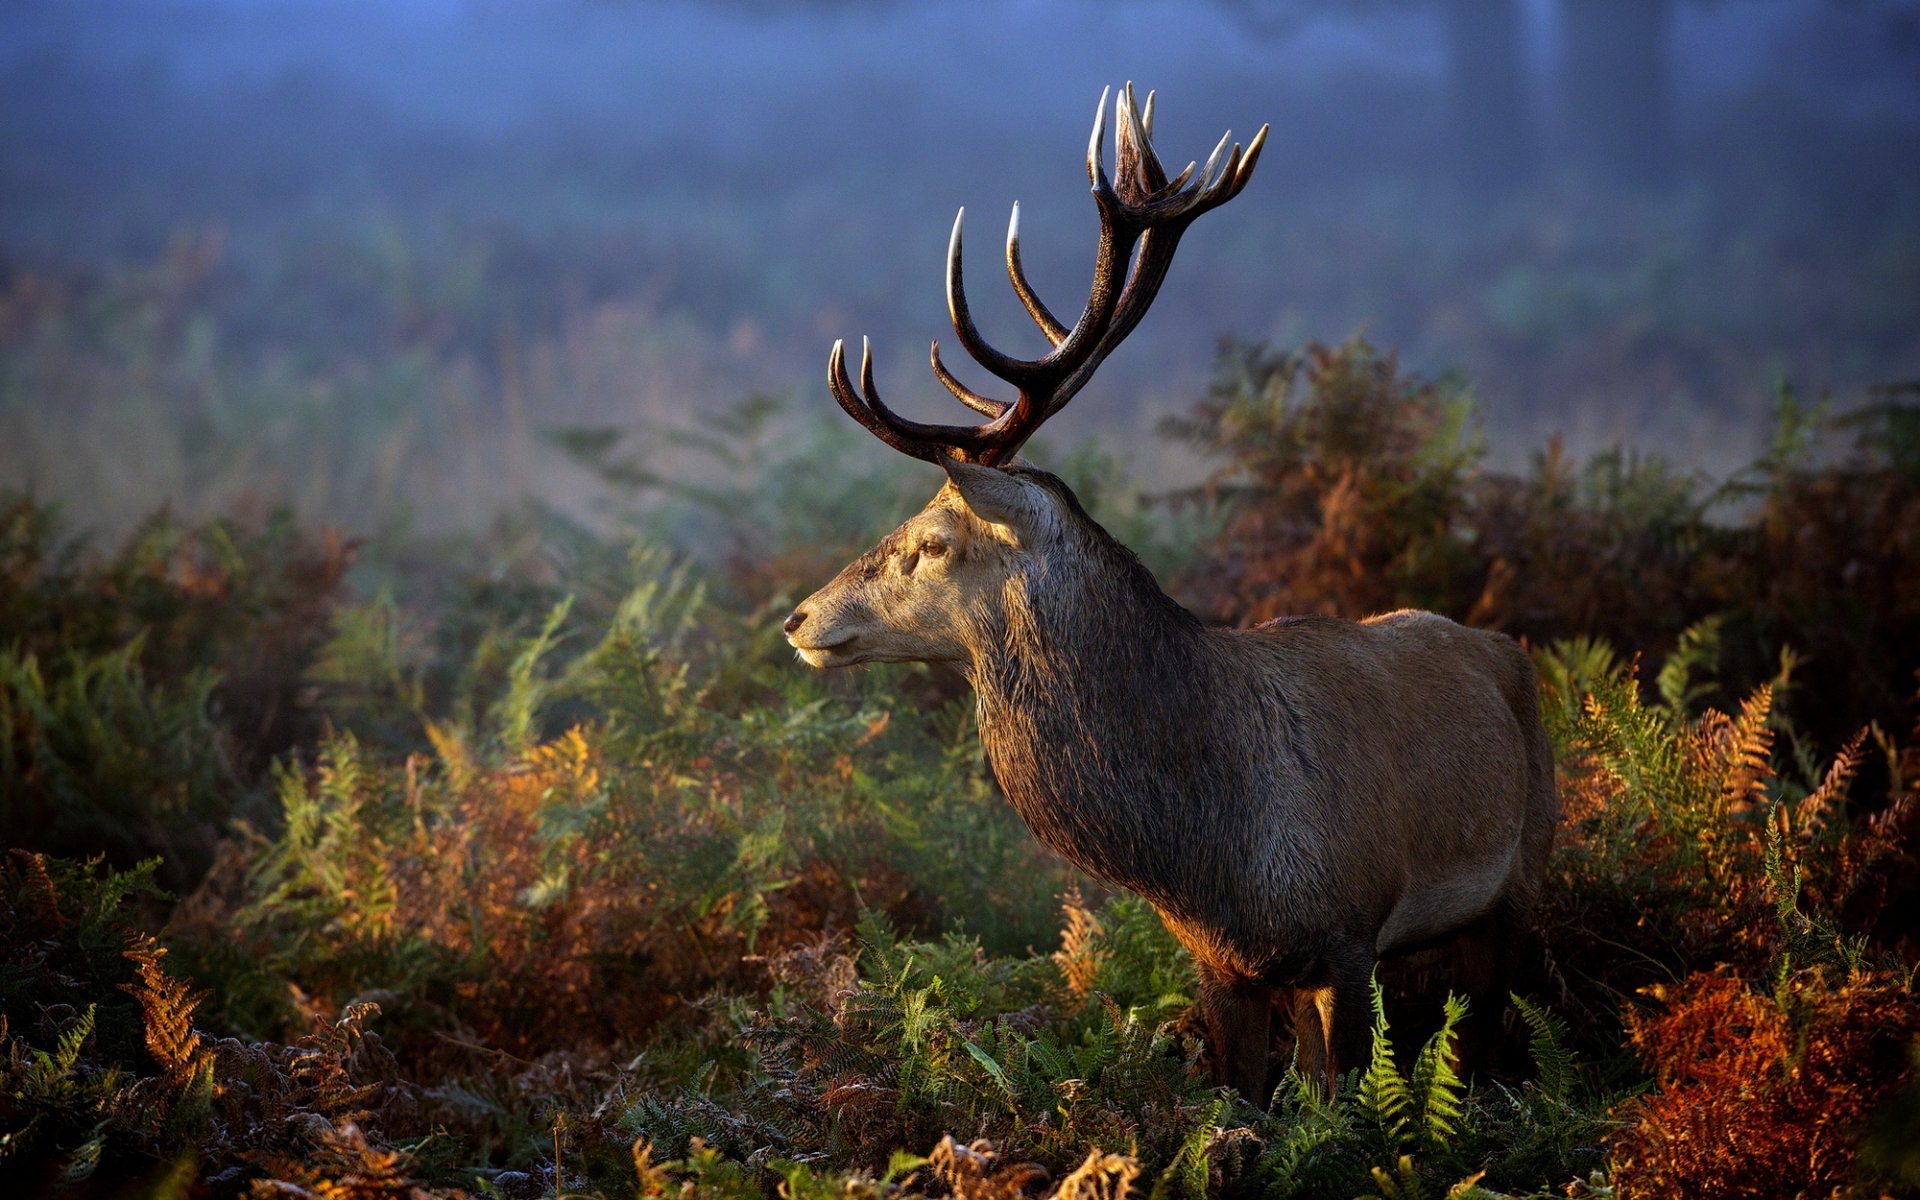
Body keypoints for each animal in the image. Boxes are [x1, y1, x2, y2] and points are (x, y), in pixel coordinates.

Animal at [781, 85, 1560, 1104]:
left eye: (933, 541)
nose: (798, 618)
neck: (1211, 858)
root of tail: (1502, 648)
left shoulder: (1353, 934)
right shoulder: (1222, 962)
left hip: (1523, 878)